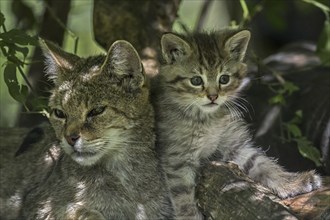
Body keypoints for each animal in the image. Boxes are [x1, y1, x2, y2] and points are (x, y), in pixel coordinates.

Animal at [0, 38, 174, 219]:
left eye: (96, 111)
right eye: (60, 113)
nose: (70, 138)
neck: (123, 171)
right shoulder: (37, 205)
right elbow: (80, 210)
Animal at [152, 29, 322, 220]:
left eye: (224, 79)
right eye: (196, 81)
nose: (213, 96)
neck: (207, 119)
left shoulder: (235, 145)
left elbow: (263, 163)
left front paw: (291, 182)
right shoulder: (177, 159)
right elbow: (183, 197)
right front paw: (191, 216)